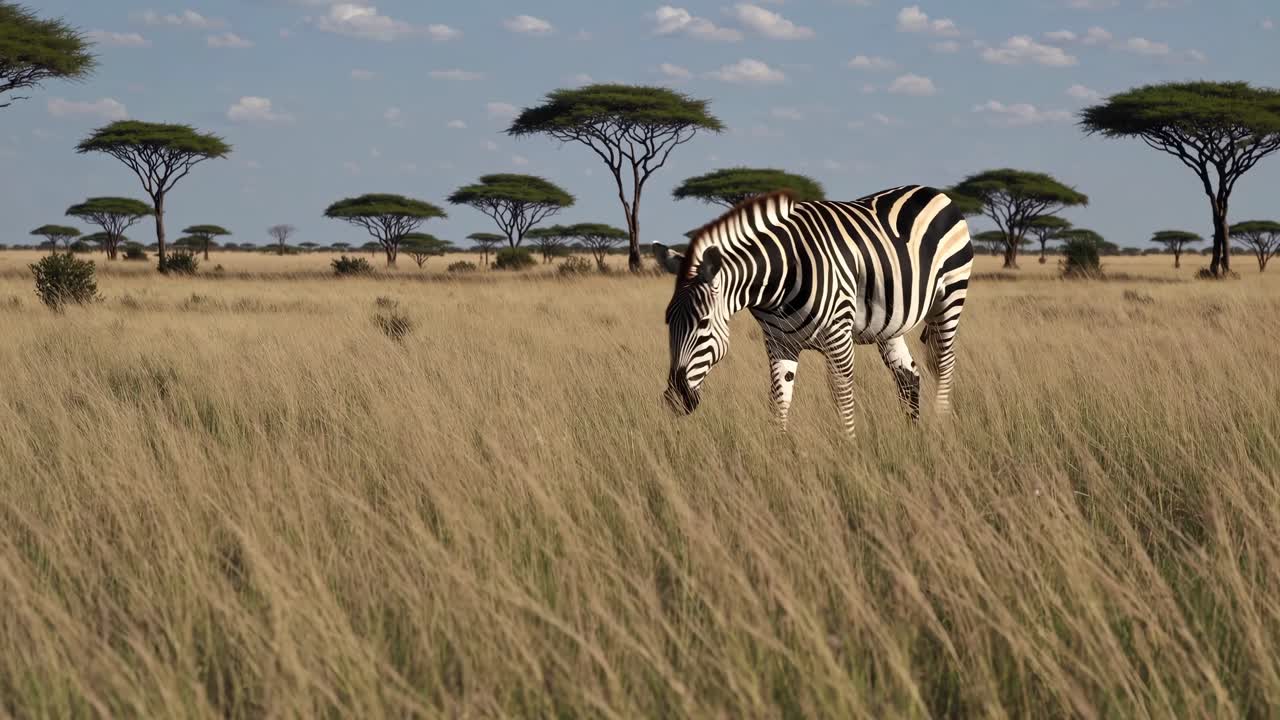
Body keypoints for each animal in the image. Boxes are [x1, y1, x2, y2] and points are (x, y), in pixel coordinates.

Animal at [652, 184, 973, 436]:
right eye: (667, 322)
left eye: (703, 322)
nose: (676, 399)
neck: (780, 276)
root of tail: (933, 191)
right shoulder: (778, 342)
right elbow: (779, 401)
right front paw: (780, 453)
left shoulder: (838, 335)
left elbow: (841, 397)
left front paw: (848, 451)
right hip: (890, 320)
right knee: (908, 376)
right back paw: (912, 435)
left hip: (950, 296)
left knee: (944, 364)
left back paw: (939, 426)